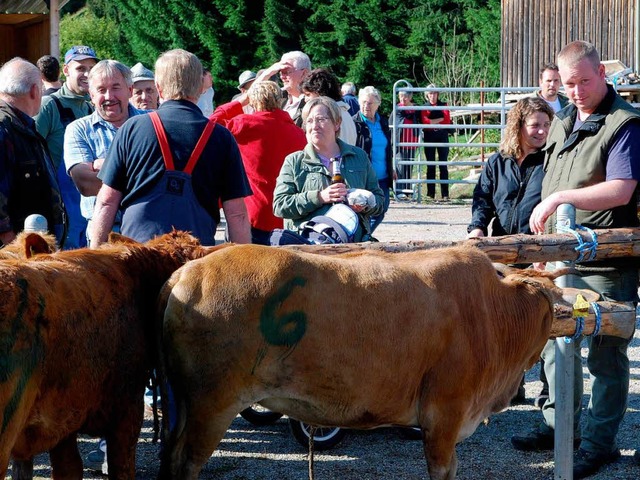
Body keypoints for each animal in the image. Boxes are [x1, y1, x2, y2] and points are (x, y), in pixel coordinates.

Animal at [156, 246, 592, 478]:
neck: (493, 312)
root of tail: (186, 273)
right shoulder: (443, 417)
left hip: (186, 403)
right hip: (213, 404)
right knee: (185, 461)